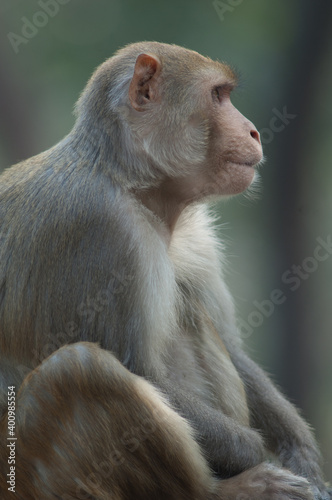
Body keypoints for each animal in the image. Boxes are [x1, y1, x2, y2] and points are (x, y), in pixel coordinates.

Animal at [0, 43, 330, 500]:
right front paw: (252, 450)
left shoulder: (196, 234)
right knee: (80, 366)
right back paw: (225, 491)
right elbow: (140, 369)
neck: (136, 186)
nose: (253, 132)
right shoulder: (103, 230)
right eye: (218, 95)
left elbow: (231, 345)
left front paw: (302, 455)